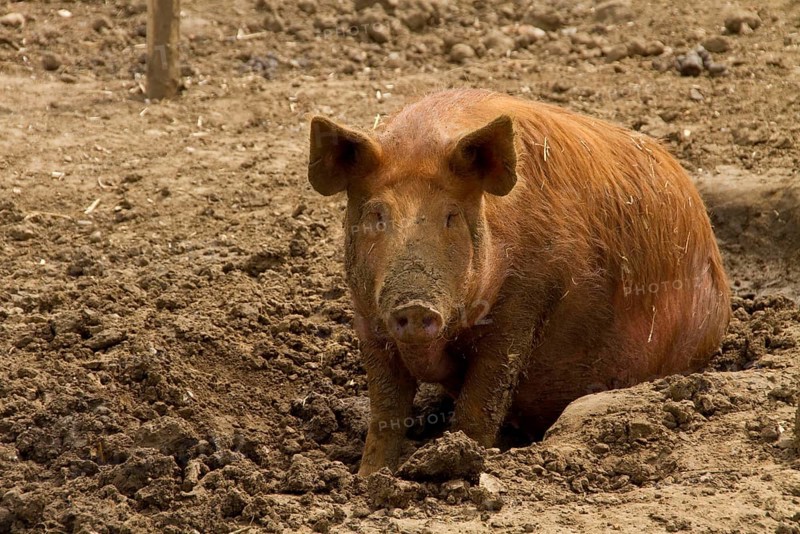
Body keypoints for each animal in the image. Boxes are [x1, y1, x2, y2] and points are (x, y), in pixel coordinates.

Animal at [307, 89, 730, 476]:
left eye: (451, 216)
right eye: (376, 215)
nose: (414, 305)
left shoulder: (526, 299)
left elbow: (485, 395)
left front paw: (463, 460)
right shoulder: (367, 316)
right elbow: (385, 407)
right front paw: (367, 478)